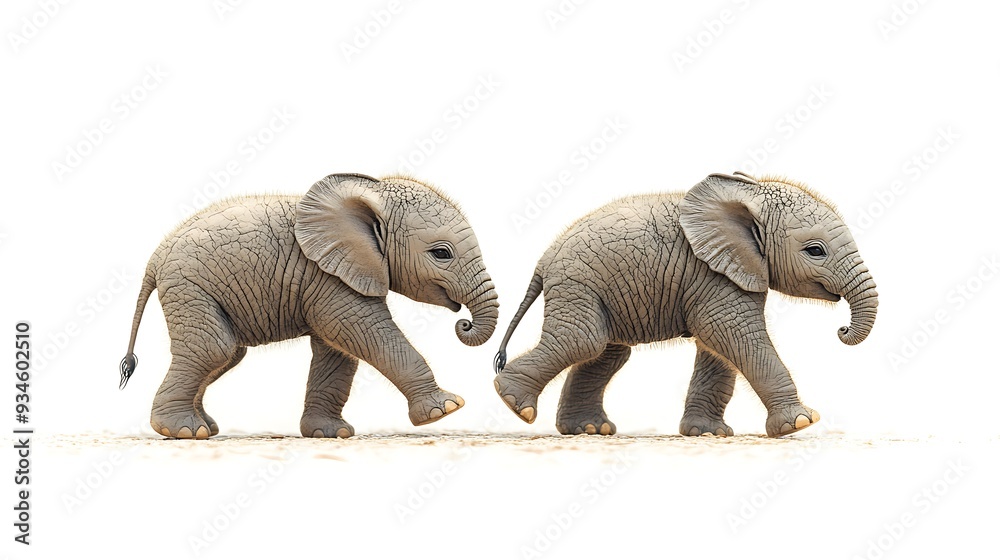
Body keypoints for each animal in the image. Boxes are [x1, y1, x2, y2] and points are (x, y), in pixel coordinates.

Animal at [119, 173, 499, 439]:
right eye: (442, 254)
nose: (464, 324)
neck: (370, 192)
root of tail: (156, 257)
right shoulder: (326, 274)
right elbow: (361, 332)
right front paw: (446, 409)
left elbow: (338, 352)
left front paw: (332, 434)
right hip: (189, 285)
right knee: (214, 349)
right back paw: (184, 431)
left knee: (225, 355)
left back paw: (204, 427)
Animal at [493, 172, 877, 437]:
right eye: (815, 251)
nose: (842, 329)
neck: (748, 193)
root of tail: (544, 260)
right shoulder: (713, 274)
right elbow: (733, 334)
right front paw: (800, 422)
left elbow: (717, 350)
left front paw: (709, 434)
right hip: (578, 283)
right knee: (582, 341)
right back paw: (513, 403)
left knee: (605, 352)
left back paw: (588, 429)